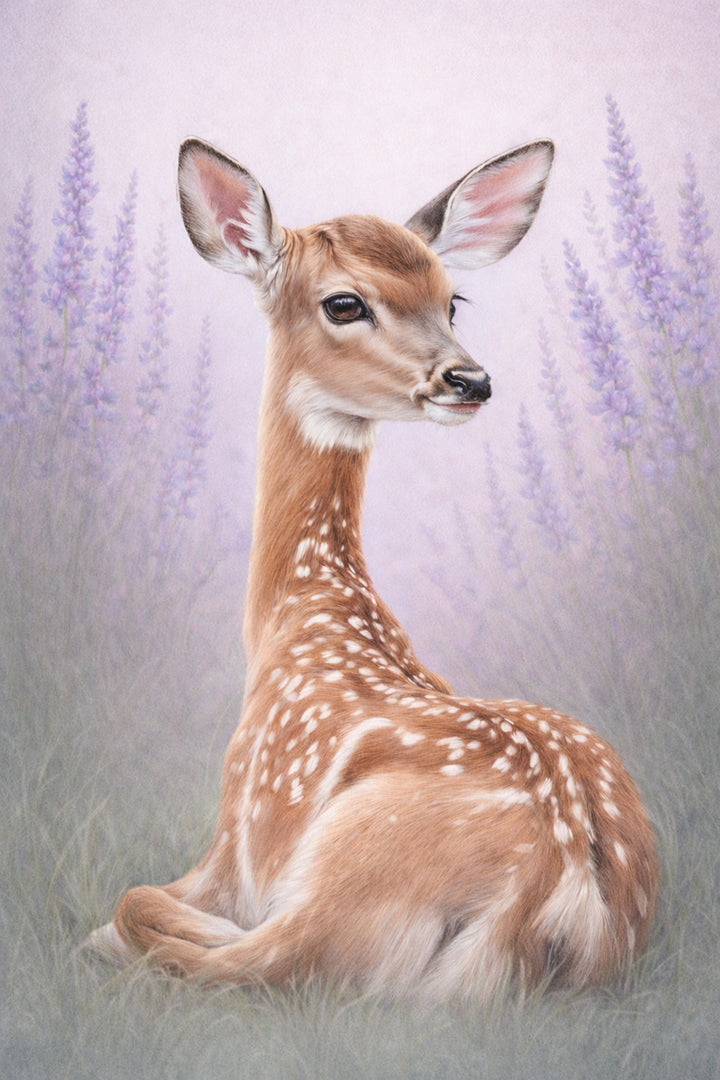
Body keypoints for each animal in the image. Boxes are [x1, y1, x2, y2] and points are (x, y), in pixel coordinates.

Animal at [87, 137, 658, 1005]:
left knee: (237, 953)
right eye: (344, 304)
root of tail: (564, 897)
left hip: (353, 866)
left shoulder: (236, 826)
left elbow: (136, 897)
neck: (303, 613)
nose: (471, 379)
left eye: (453, 301)